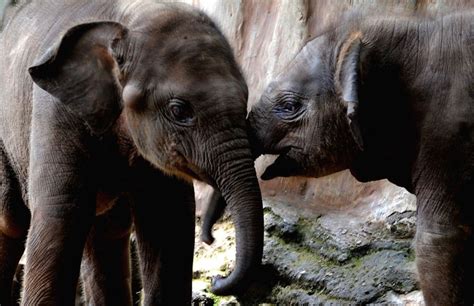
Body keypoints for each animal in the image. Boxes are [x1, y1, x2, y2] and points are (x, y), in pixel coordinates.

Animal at [0, 1, 262, 304]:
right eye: (179, 110)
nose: (216, 279)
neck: (124, 19)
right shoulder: (55, 110)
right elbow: (61, 214)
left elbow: (165, 216)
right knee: (12, 222)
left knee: (104, 233)